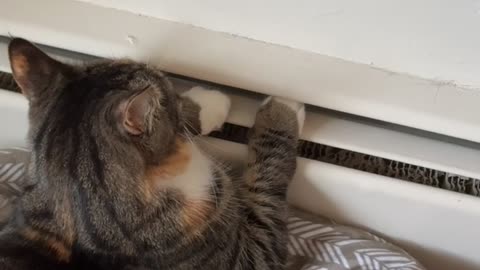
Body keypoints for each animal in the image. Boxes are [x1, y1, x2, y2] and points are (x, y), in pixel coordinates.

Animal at [0, 38, 304, 270]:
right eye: (166, 88)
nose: (169, 81)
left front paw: (208, 102)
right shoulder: (252, 255)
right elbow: (267, 185)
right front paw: (283, 105)